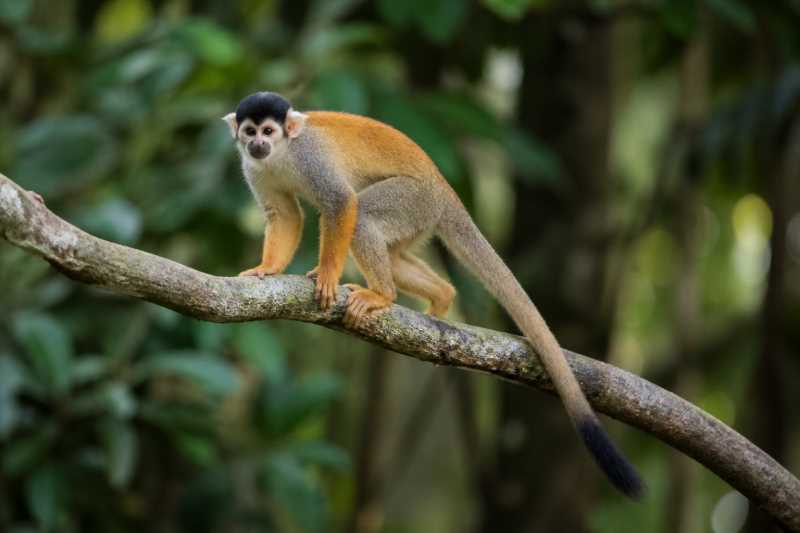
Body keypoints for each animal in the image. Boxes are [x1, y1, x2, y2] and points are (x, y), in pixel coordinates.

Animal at [223, 91, 644, 498]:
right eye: (249, 131)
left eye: (268, 131)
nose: (257, 144)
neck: (281, 154)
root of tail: (444, 188)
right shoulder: (253, 168)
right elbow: (283, 214)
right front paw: (267, 269)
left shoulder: (311, 158)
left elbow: (341, 204)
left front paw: (327, 274)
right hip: (420, 216)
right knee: (393, 253)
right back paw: (441, 296)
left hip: (414, 199)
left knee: (364, 216)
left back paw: (382, 294)